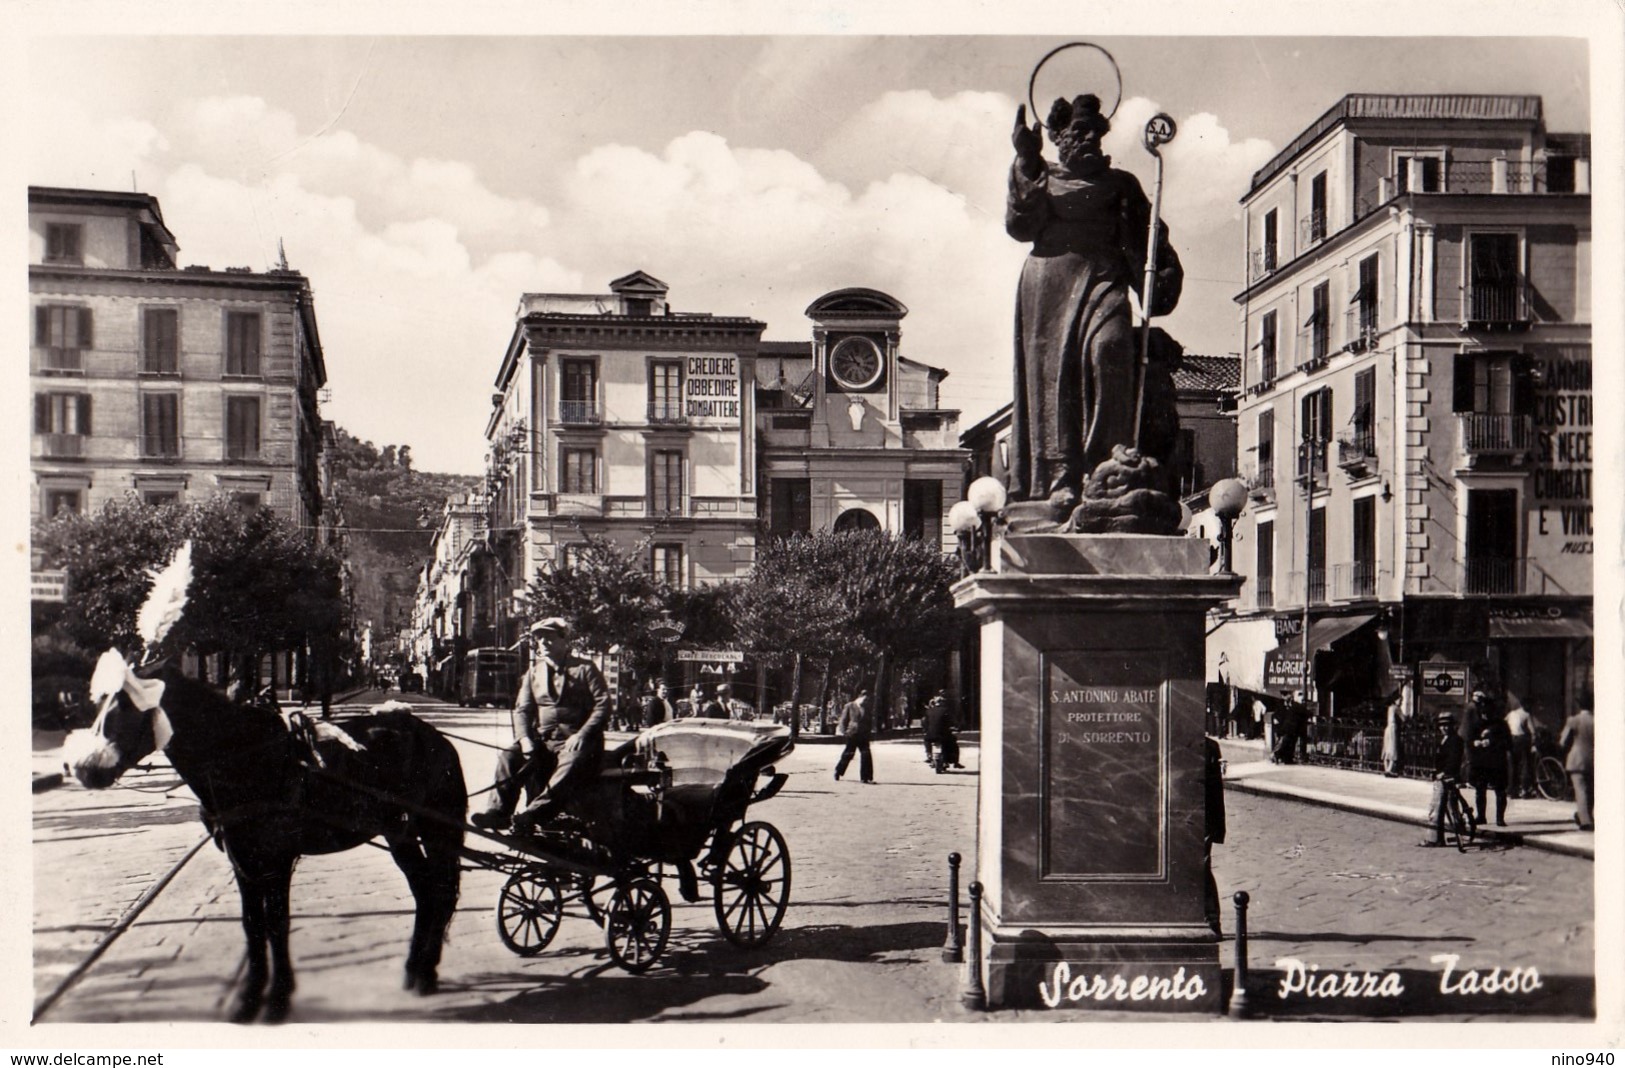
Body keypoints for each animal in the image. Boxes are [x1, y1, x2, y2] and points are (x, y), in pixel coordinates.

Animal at [69, 653, 464, 1020]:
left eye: (128, 706)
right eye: (101, 703)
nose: (83, 769)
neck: (240, 756)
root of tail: (435, 737)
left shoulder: (276, 860)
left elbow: (276, 923)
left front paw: (277, 999)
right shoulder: (242, 859)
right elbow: (253, 925)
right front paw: (248, 999)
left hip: (436, 829)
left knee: (440, 891)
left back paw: (425, 972)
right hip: (399, 832)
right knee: (427, 891)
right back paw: (416, 969)